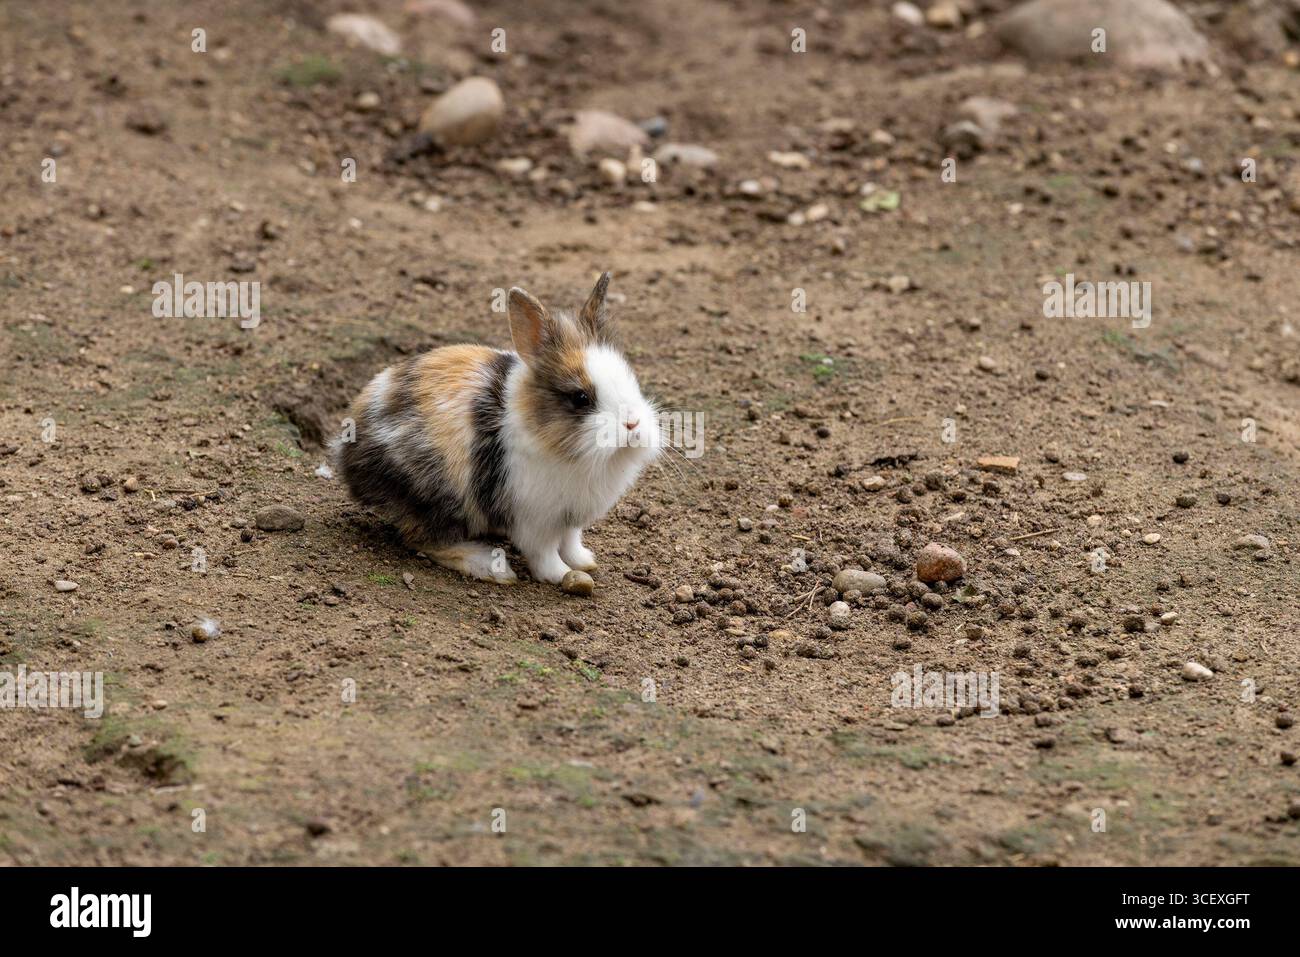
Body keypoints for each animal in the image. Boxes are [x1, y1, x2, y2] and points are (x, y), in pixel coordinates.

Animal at [334, 272, 661, 585]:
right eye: (581, 398)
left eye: (631, 379)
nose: (632, 424)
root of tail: (347, 454)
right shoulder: (536, 519)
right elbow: (544, 554)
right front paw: (562, 576)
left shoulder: (569, 518)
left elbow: (570, 541)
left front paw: (584, 561)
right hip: (436, 497)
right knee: (422, 540)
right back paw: (491, 567)